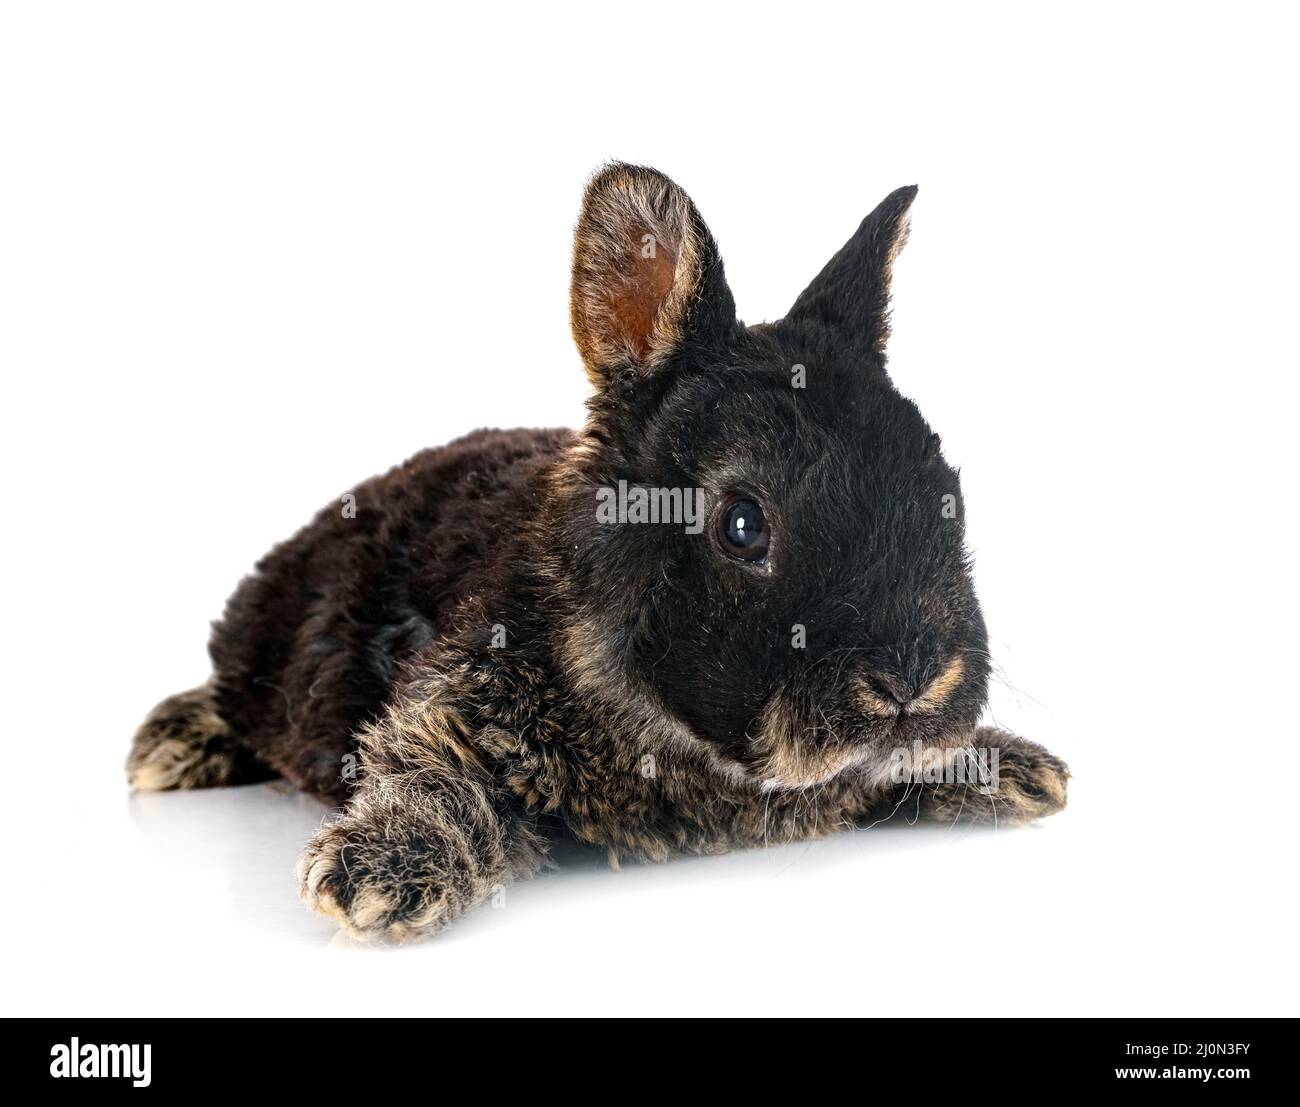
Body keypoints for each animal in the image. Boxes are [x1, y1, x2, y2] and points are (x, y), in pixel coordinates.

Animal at [128, 163, 1068, 941]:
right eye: (741, 524)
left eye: (945, 489)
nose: (915, 679)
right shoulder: (448, 694)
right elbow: (432, 772)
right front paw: (381, 868)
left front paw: (1013, 767)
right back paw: (167, 745)